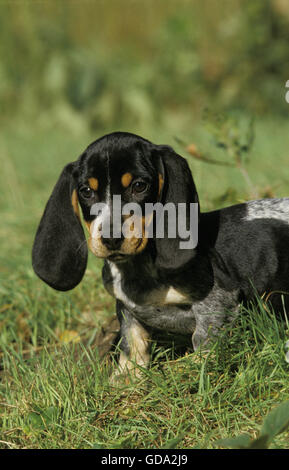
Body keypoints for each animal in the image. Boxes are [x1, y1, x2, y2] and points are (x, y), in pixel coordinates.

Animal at [32, 131, 288, 378]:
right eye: (86, 191)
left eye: (139, 186)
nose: (111, 238)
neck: (140, 268)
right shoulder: (126, 308)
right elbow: (132, 342)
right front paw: (127, 377)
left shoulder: (218, 301)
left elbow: (205, 342)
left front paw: (182, 371)